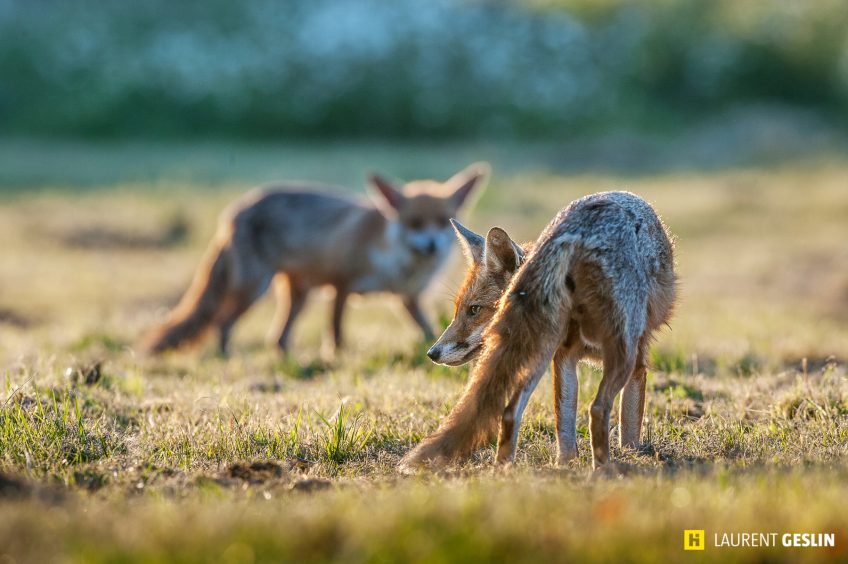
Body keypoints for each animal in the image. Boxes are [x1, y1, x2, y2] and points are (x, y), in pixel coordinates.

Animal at [143, 163, 489, 356]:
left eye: (442, 222)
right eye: (414, 223)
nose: (432, 246)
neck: (395, 259)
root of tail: (234, 213)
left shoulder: (408, 298)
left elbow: (430, 330)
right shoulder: (341, 284)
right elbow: (335, 332)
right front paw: (336, 357)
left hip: (299, 295)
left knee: (277, 338)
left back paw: (284, 357)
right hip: (254, 288)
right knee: (221, 323)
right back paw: (226, 355)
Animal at [402, 191, 676, 470]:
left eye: (473, 310)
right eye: (460, 310)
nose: (431, 353)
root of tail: (573, 232)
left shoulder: (562, 357)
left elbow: (566, 430)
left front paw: (566, 464)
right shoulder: (637, 362)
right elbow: (629, 427)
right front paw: (634, 455)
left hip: (538, 355)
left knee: (510, 413)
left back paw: (506, 471)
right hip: (619, 353)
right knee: (598, 409)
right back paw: (604, 470)